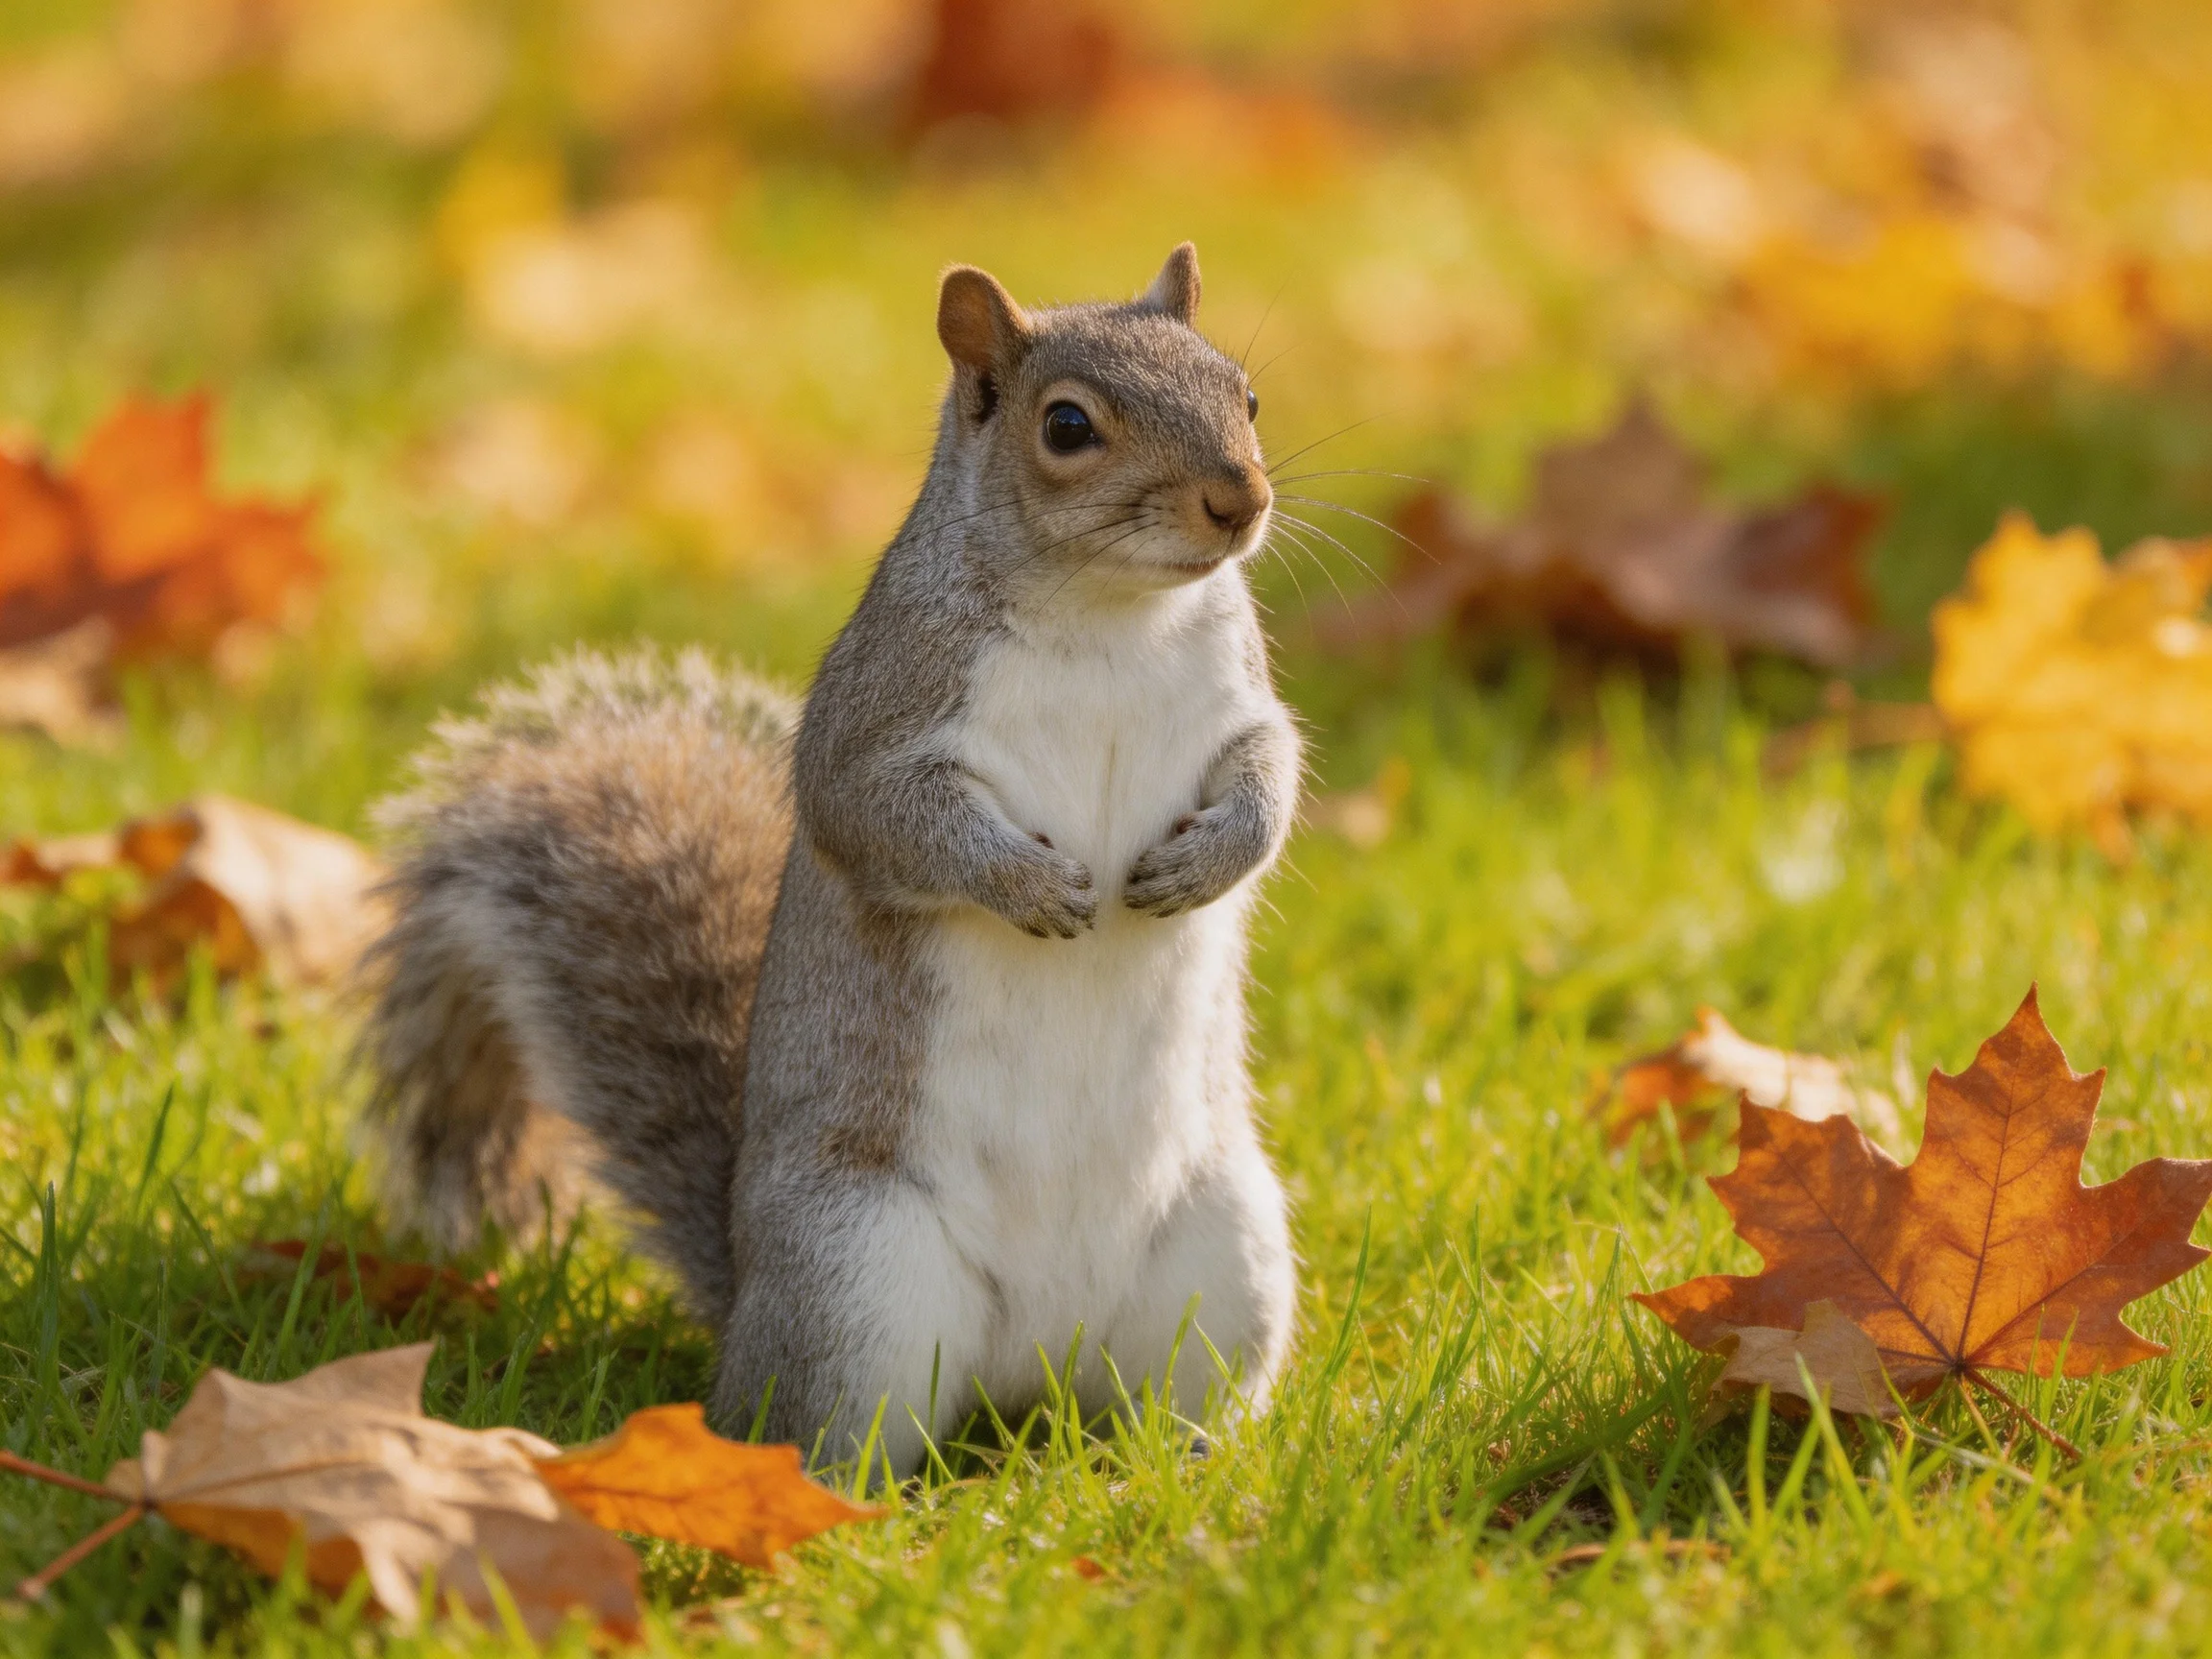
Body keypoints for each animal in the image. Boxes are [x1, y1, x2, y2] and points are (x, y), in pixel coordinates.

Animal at [363, 244, 1301, 1477]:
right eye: (1066, 425)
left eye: (1248, 395)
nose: (1240, 500)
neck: (1115, 616)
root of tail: (1029, 1376)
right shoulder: (873, 724)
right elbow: (886, 820)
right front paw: (1025, 885)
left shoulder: (1241, 705)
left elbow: (1272, 772)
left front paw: (1210, 864)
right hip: (856, 1278)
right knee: (822, 1431)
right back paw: (833, 1498)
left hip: (1226, 1256)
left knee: (1170, 1405)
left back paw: (1192, 1467)